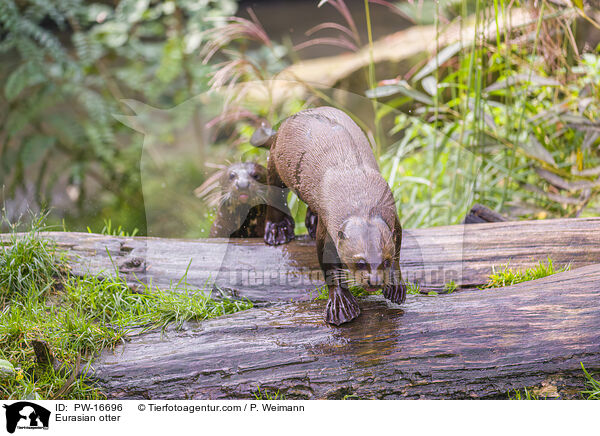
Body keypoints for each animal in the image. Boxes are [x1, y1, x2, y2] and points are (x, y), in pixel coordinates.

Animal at [251, 107, 406, 326]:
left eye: (385, 261)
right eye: (360, 262)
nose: (374, 281)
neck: (358, 192)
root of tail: (282, 126)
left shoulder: (394, 219)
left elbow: (398, 251)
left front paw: (395, 284)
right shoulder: (328, 225)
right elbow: (328, 262)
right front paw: (341, 304)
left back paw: (309, 222)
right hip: (275, 160)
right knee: (274, 191)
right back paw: (277, 230)